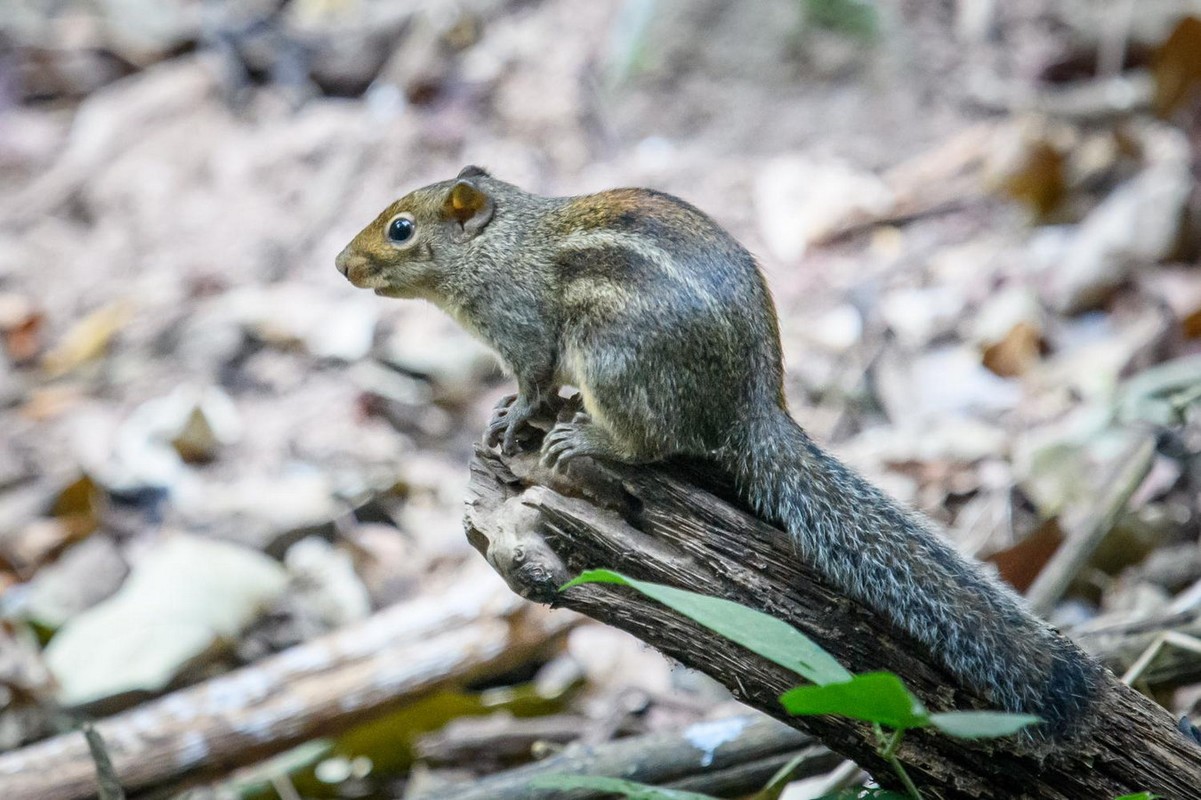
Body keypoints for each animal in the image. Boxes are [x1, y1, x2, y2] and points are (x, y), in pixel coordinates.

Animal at [338, 164, 1104, 739]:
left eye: (400, 228)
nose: (341, 263)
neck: (500, 246)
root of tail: (753, 407)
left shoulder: (523, 331)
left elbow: (533, 381)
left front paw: (517, 416)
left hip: (614, 360)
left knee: (648, 443)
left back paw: (584, 437)